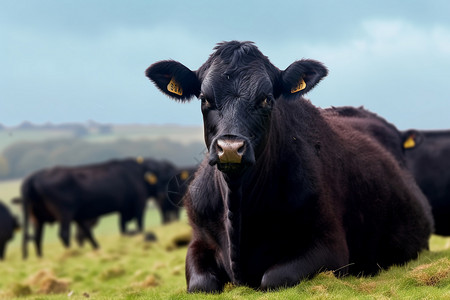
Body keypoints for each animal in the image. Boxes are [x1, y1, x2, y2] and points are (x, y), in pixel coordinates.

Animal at [21, 157, 178, 258]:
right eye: (161, 178)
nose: (163, 194)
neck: (139, 173)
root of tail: (34, 176)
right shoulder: (138, 205)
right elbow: (139, 225)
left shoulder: (122, 210)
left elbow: (121, 228)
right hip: (65, 213)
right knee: (64, 234)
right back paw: (71, 253)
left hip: (39, 217)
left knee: (38, 238)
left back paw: (41, 257)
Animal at [146, 41, 434, 292]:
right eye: (205, 98)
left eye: (266, 99)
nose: (230, 148)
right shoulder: (199, 241)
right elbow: (201, 284)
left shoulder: (330, 246)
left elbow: (273, 278)